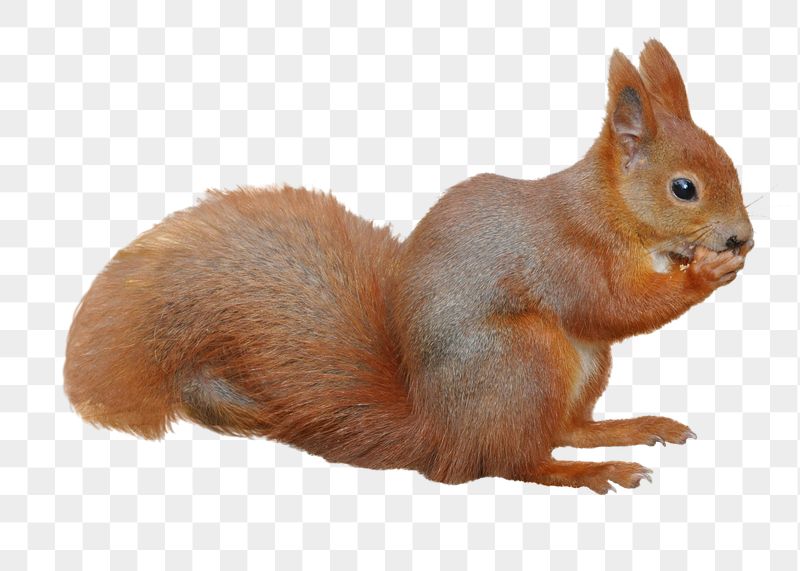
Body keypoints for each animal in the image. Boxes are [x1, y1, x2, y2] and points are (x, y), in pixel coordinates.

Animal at [64, 40, 753, 493]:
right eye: (684, 189)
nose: (742, 238)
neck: (608, 209)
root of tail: (440, 437)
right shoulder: (565, 253)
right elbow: (611, 305)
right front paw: (704, 273)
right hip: (523, 358)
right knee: (515, 461)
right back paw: (589, 471)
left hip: (574, 369)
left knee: (565, 427)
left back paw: (627, 428)